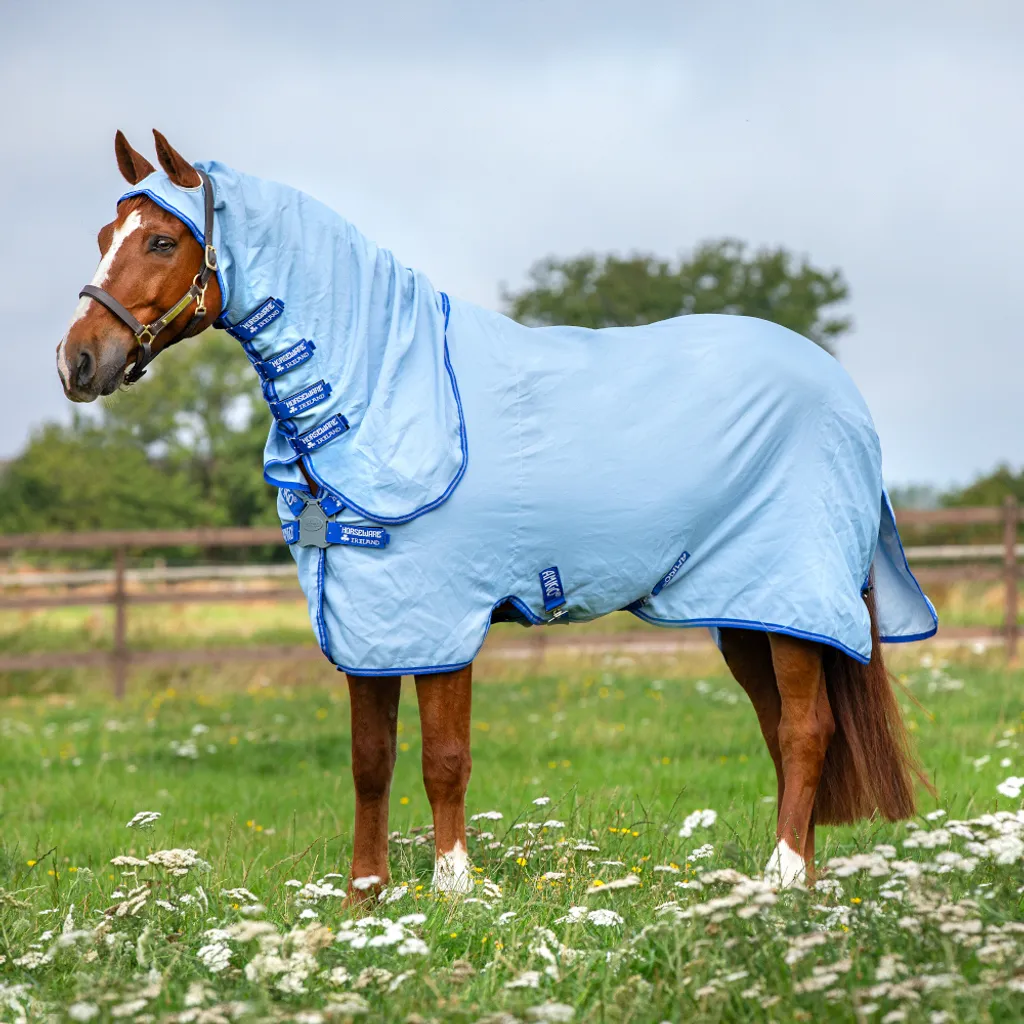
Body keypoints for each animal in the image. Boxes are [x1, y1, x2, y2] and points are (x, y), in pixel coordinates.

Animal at [58, 130, 936, 894]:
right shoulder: (369, 621)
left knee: (804, 731)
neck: (385, 387)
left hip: (794, 600)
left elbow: (443, 754)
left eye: (161, 242)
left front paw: (453, 888)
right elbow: (370, 759)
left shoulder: (441, 614)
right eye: (103, 232)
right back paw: (794, 885)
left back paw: (782, 879)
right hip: (746, 611)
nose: (78, 361)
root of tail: (840, 390)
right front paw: (365, 897)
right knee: (785, 730)